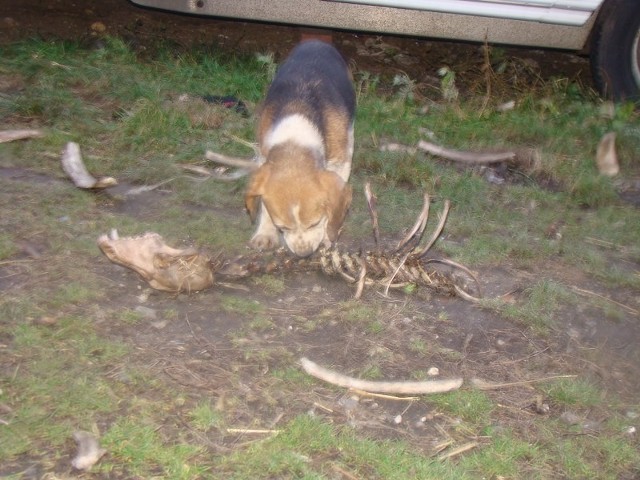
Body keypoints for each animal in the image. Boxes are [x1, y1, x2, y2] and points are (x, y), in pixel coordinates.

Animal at [246, 40, 356, 256]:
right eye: (282, 227)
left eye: (314, 223)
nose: (303, 254)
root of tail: (316, 41)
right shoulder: (264, 156)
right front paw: (265, 233)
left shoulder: (340, 162)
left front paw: (327, 236)